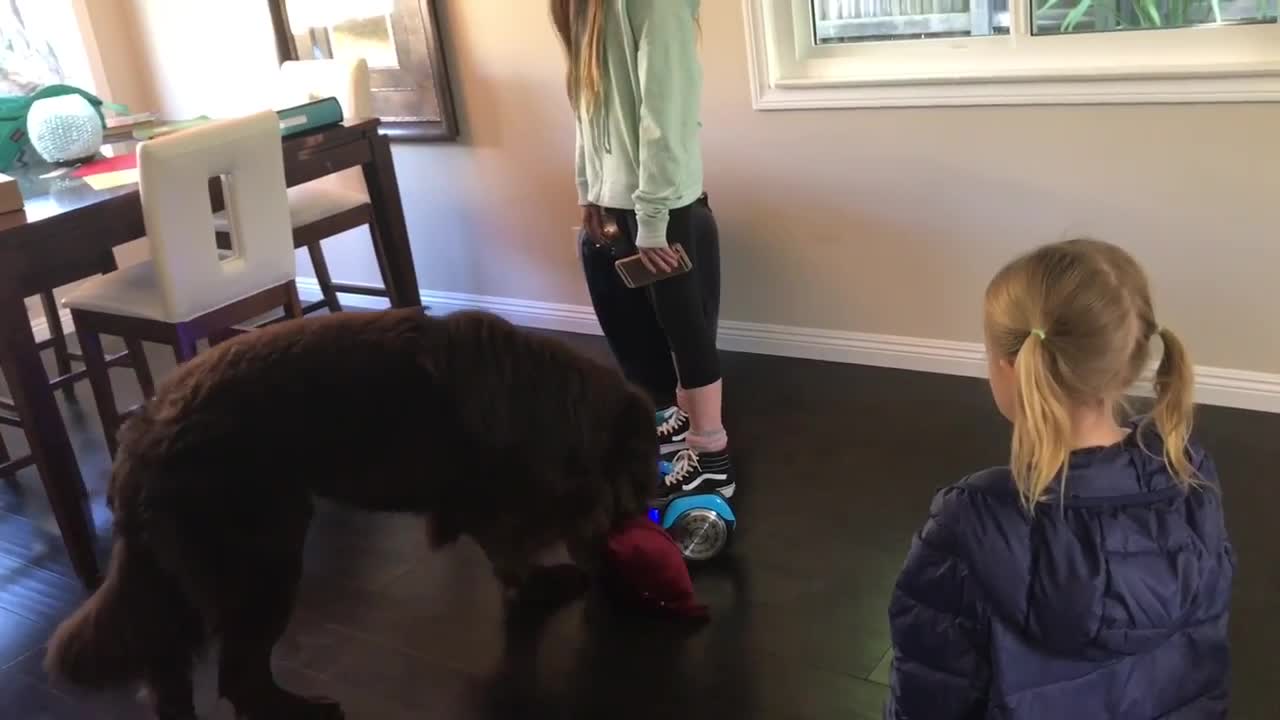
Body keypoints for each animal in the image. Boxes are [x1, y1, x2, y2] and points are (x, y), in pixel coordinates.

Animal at [45, 308, 655, 717]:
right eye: (639, 493)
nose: (627, 549)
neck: (554, 404)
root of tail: (135, 438)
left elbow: (508, 551)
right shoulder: (496, 499)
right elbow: (514, 546)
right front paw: (548, 580)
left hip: (180, 580)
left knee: (169, 670)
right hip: (264, 558)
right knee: (239, 675)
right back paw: (304, 709)